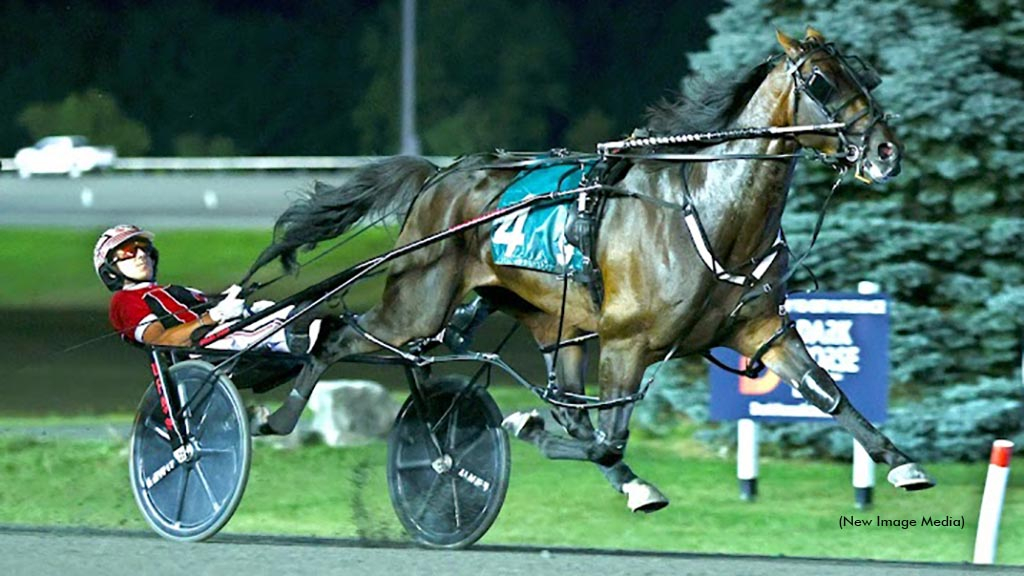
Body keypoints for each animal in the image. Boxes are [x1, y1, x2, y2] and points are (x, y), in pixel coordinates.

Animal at [249, 28, 937, 510]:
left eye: (865, 72)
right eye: (820, 80)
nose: (886, 151)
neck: (709, 212)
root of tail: (439, 176)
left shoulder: (759, 328)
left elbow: (827, 392)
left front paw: (901, 461)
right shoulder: (627, 341)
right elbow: (606, 436)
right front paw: (529, 426)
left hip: (555, 323)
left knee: (571, 409)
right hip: (420, 303)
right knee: (336, 336)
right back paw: (275, 417)